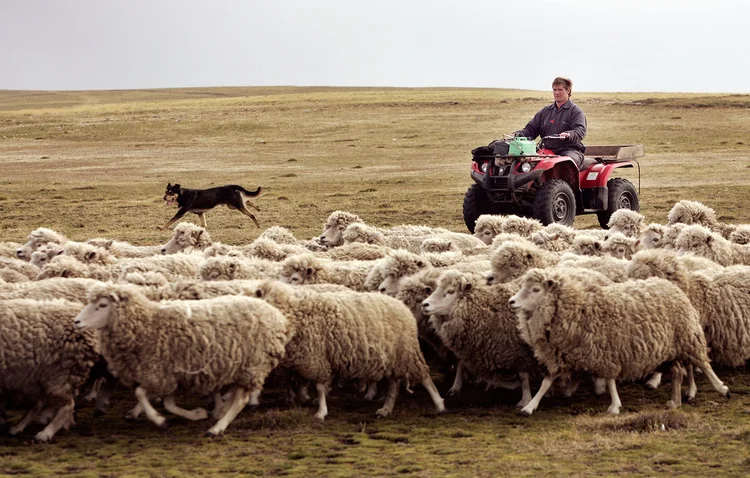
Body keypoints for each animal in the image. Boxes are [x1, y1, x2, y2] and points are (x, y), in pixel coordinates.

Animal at [0, 298, 100, 440]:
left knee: (67, 405)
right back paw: (19, 427)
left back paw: (45, 433)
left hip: (60, 374)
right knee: (43, 402)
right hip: (44, 376)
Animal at [72, 284, 290, 436]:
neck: (147, 323)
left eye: (102, 305)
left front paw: (159, 420)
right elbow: (165, 403)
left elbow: (141, 394)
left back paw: (217, 428)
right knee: (237, 394)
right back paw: (219, 412)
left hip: (254, 364)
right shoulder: (166, 375)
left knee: (241, 400)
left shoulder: (159, 373)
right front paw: (196, 414)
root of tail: (274, 314)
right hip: (243, 366)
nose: (77, 321)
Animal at [424, 268, 540, 408]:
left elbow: (523, 376)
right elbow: (477, 371)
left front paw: (525, 399)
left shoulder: (520, 351)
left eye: (450, 291)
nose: (425, 304)